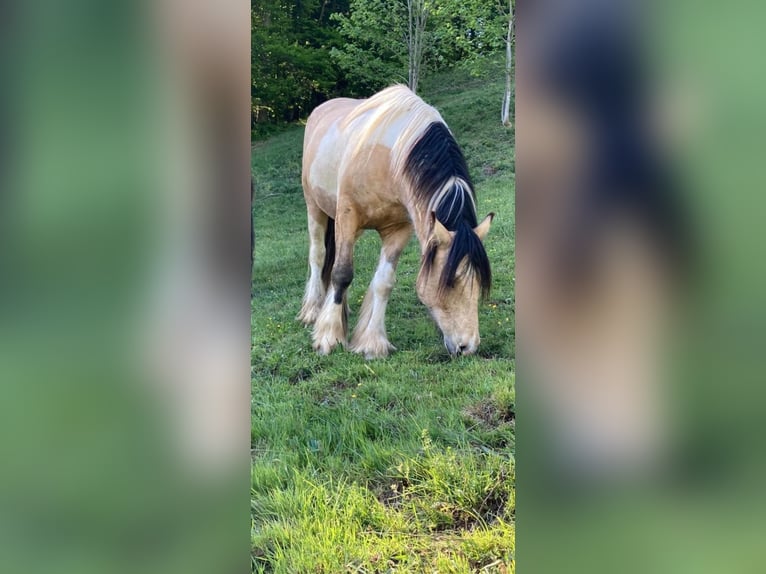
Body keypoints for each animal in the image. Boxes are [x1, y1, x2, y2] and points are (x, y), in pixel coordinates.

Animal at [297, 85, 494, 359]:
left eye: (478, 281)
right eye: (451, 281)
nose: (468, 346)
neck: (389, 158)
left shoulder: (398, 230)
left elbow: (383, 283)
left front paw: (372, 343)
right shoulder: (348, 216)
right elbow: (342, 273)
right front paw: (329, 337)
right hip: (315, 208)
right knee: (318, 256)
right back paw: (313, 310)